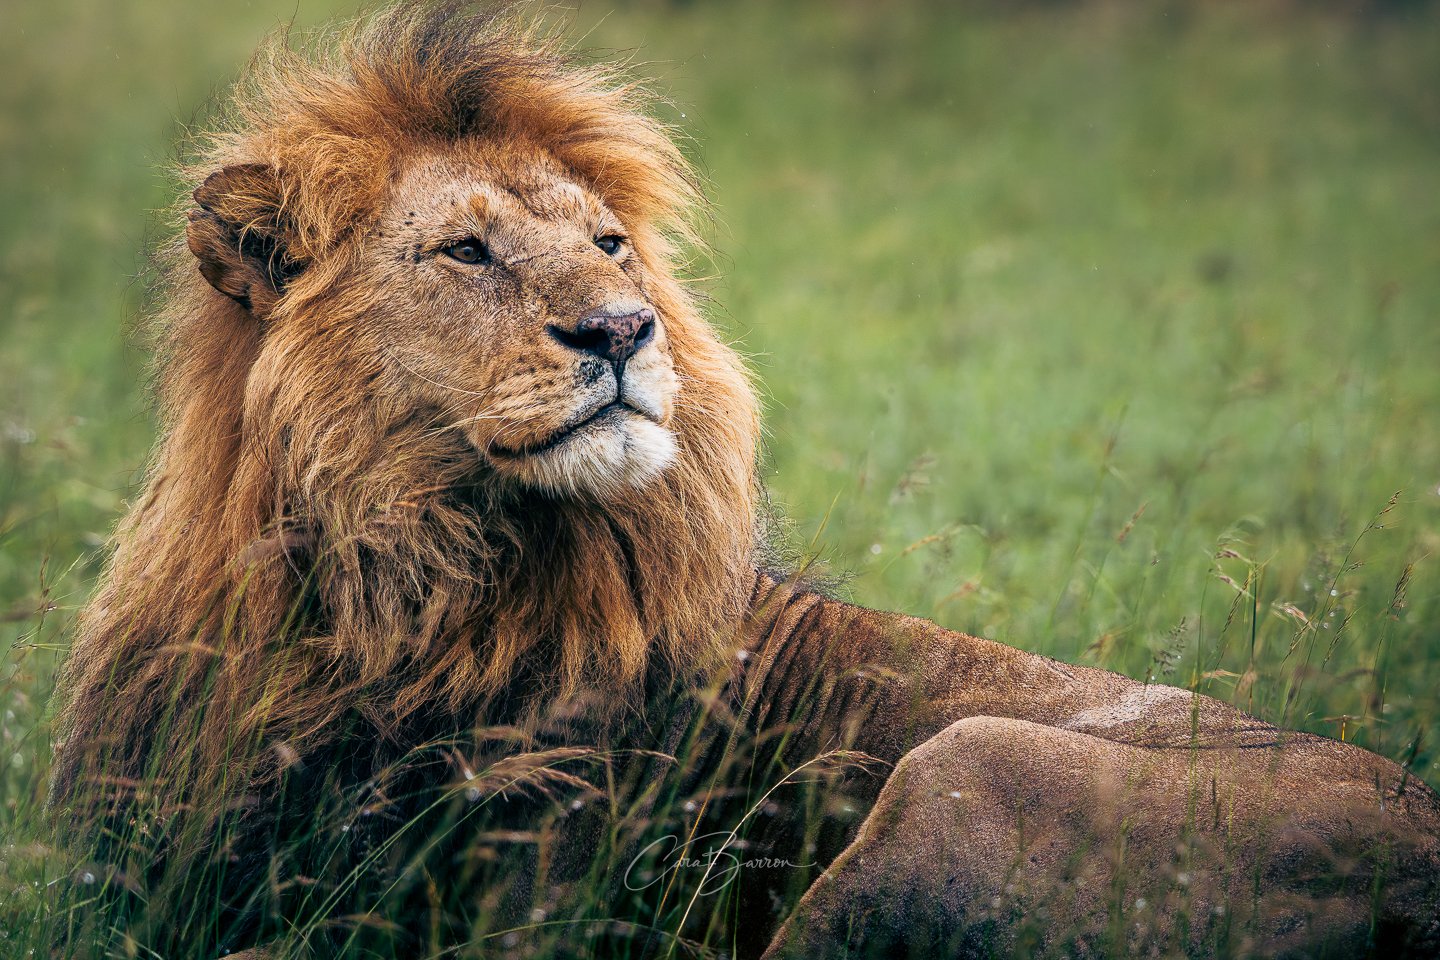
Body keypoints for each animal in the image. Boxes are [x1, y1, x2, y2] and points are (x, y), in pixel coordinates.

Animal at [49, 4, 1439, 958]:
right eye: (467, 252)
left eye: (611, 244)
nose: (621, 330)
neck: (382, 587)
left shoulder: (518, 915)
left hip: (957, 773)